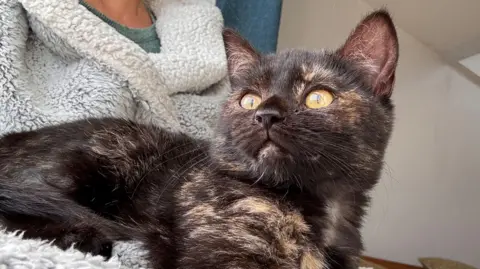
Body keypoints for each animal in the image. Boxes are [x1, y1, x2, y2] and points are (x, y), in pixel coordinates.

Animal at [0, 9, 398, 268]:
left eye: (318, 97)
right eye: (249, 99)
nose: (266, 115)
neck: (320, 209)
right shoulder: (224, 253)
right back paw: (81, 237)